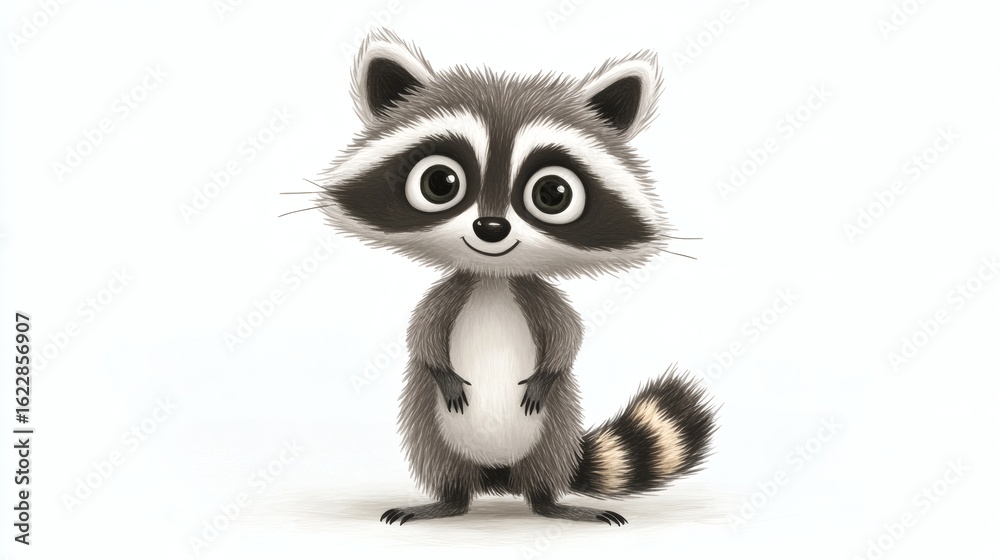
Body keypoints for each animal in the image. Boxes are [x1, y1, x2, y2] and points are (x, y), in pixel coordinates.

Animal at [316, 29, 716, 526]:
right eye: (440, 182)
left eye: (553, 193)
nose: (491, 228)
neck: (494, 278)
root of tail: (497, 479)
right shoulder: (454, 291)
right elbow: (422, 333)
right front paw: (440, 367)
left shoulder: (535, 295)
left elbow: (568, 333)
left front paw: (550, 368)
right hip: (431, 429)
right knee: (445, 469)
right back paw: (446, 501)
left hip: (555, 429)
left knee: (543, 475)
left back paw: (553, 504)